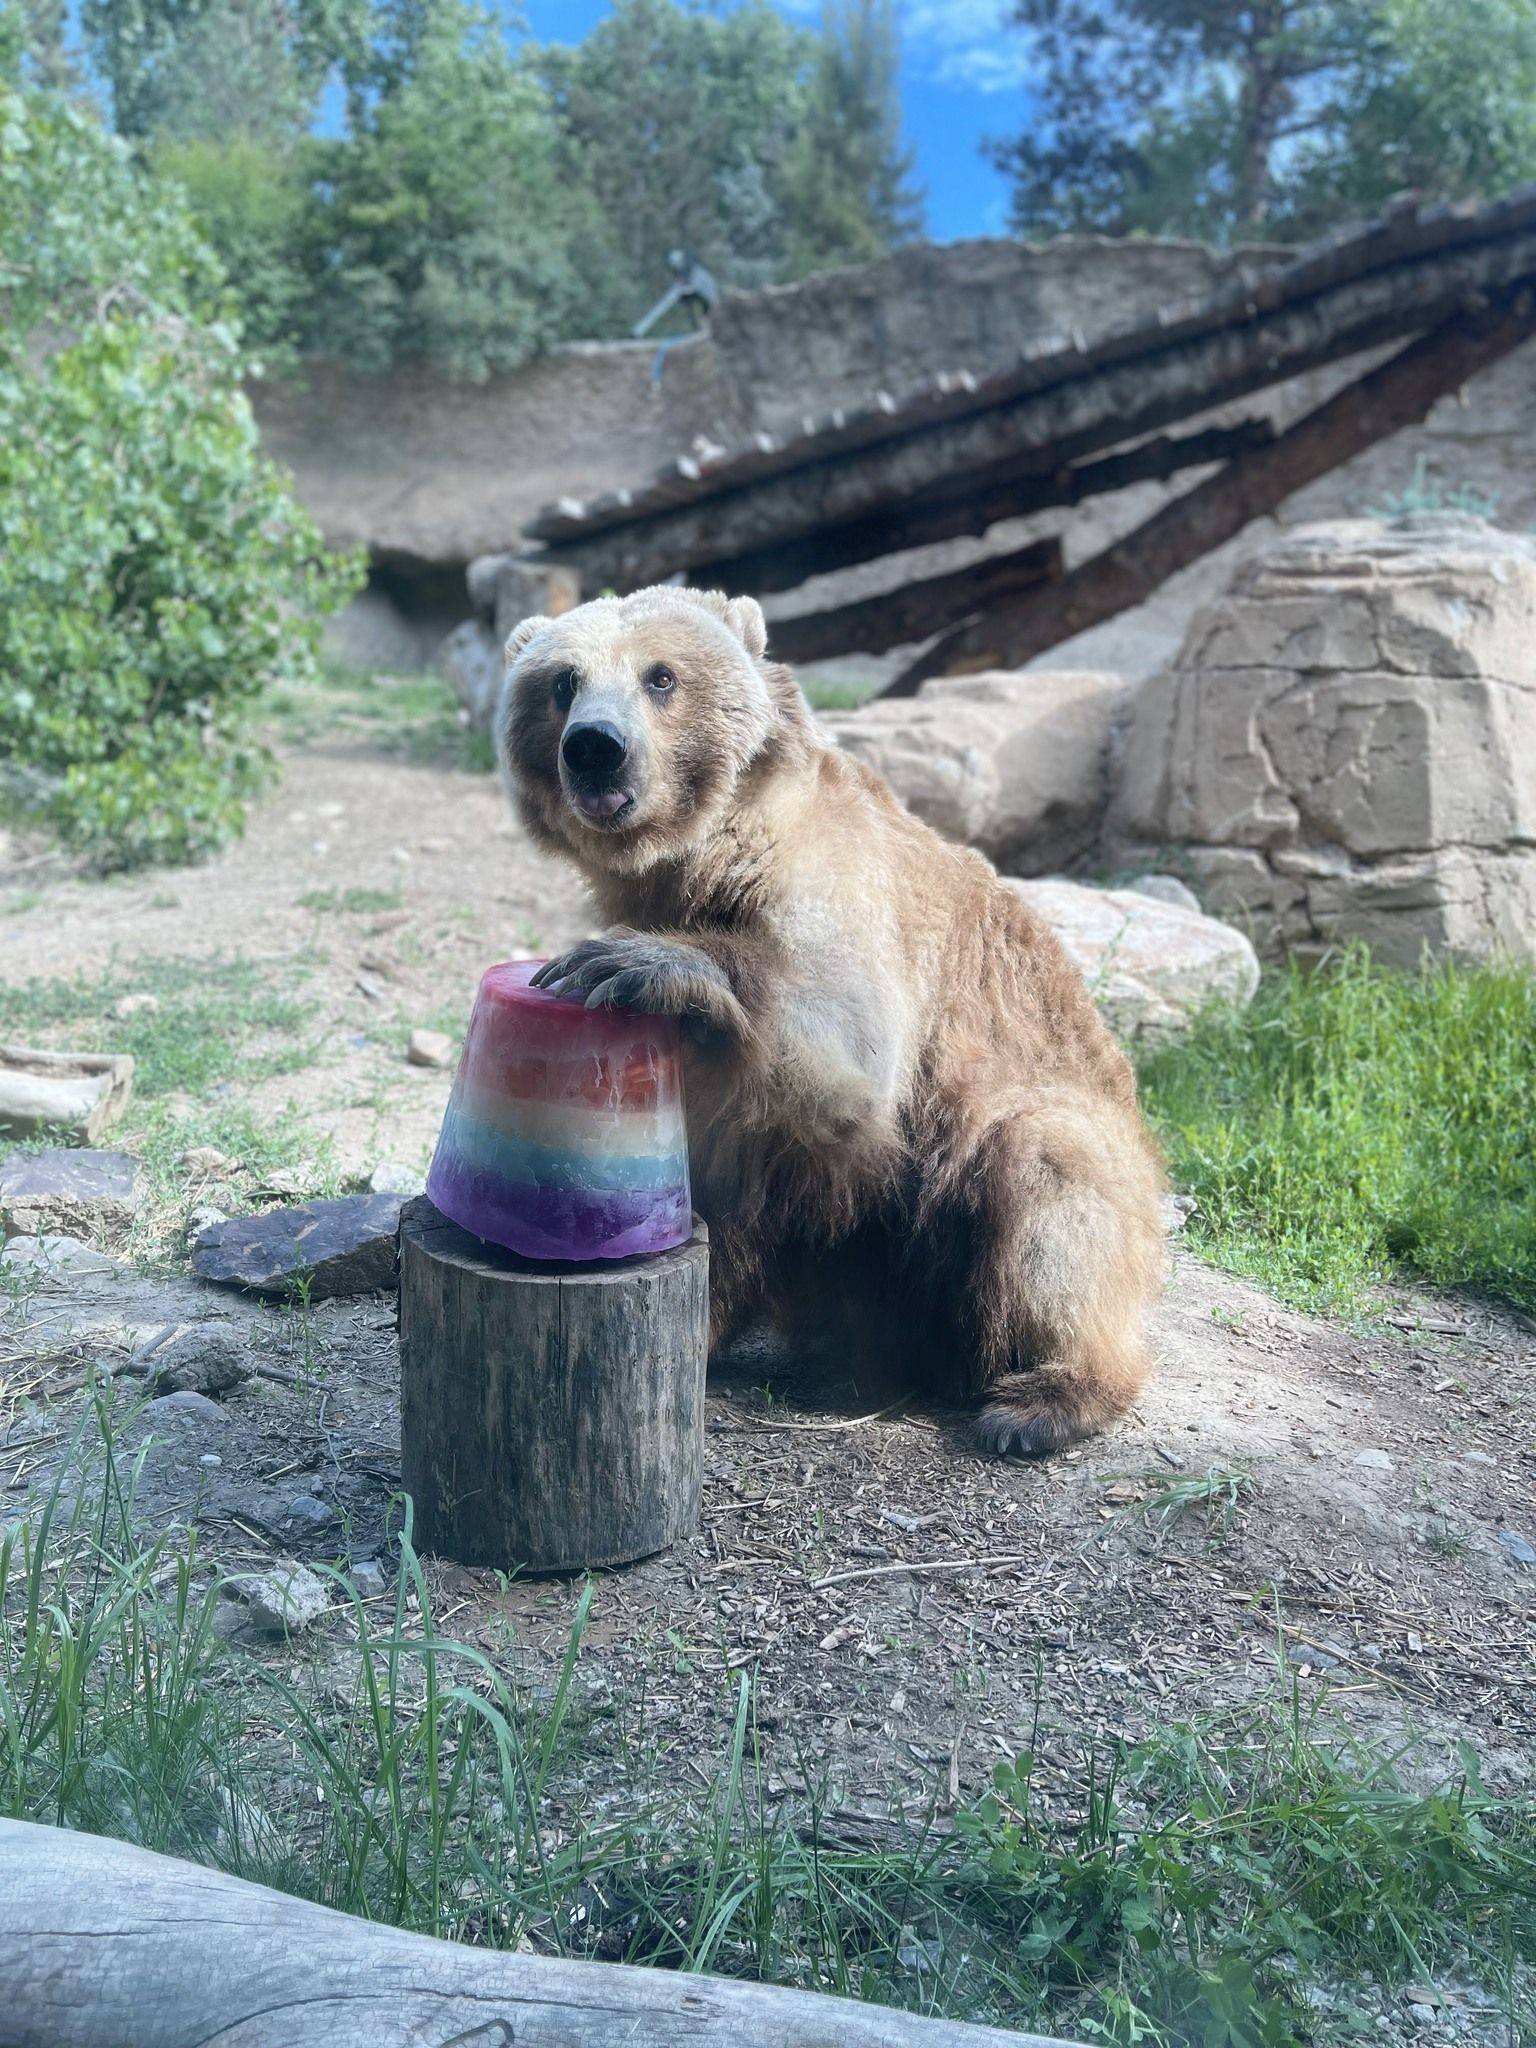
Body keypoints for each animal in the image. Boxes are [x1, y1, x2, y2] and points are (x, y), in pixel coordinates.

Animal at [501, 585, 1163, 1449]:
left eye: (660, 676)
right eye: (562, 682)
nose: (594, 747)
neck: (703, 860)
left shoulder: (837, 884)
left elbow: (843, 1046)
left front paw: (628, 962)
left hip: (1030, 1160)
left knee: (1051, 1175)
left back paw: (1045, 1399)